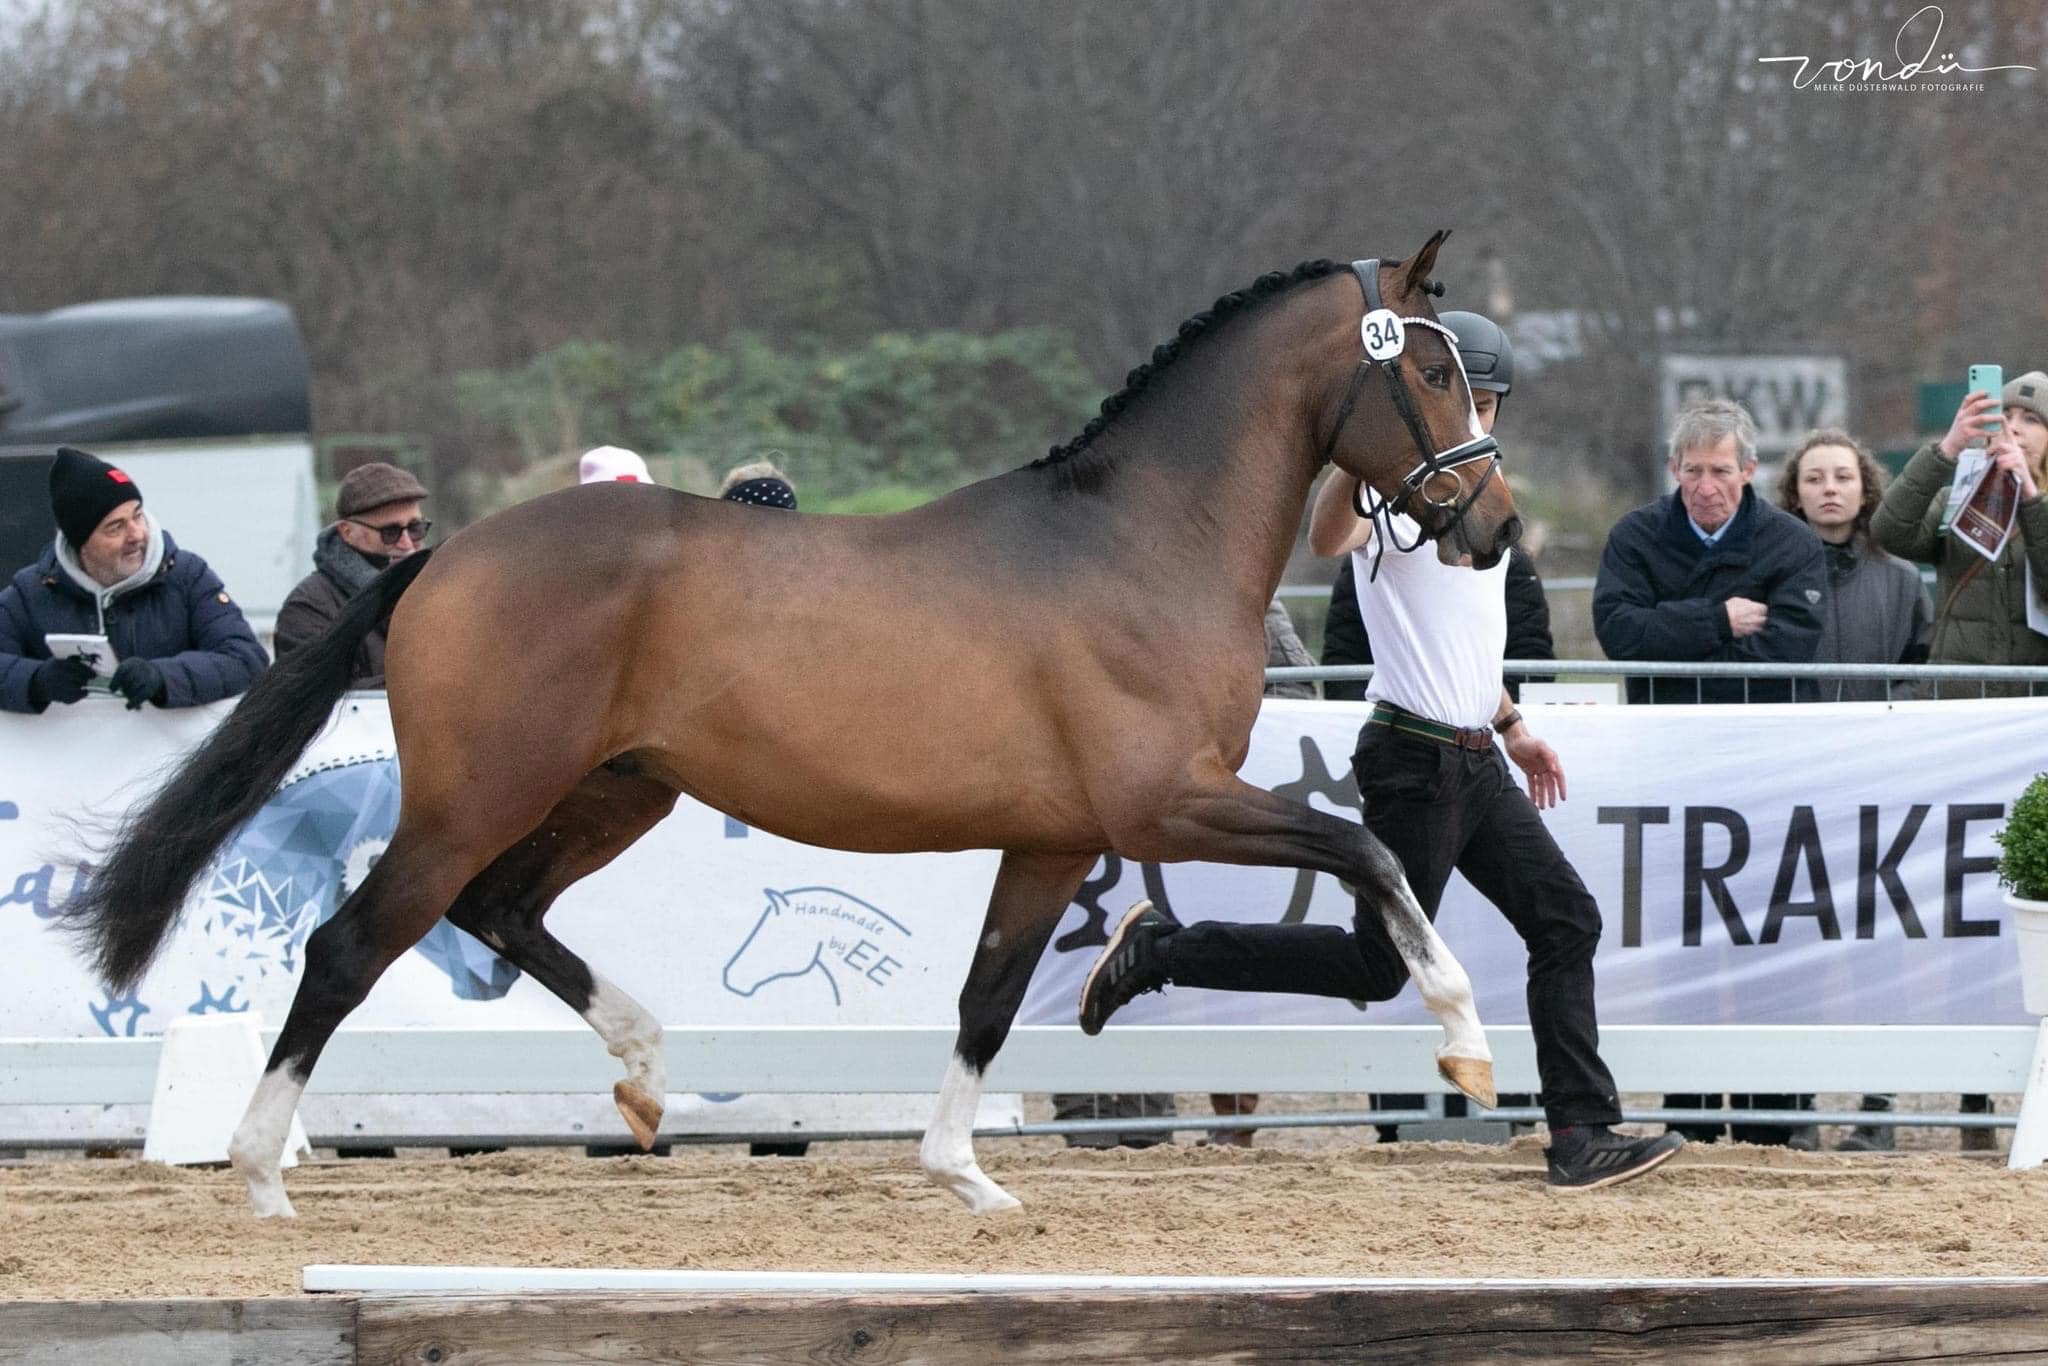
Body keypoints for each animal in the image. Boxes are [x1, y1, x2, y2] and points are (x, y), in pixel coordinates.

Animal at [68, 237, 1523, 1220]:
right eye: (1432, 367)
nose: (1495, 525)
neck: (1136, 540)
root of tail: (443, 556)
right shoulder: (1162, 796)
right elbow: (1365, 851)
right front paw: (1463, 1042)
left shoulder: (1055, 837)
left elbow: (989, 994)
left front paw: (964, 1175)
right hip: (480, 796)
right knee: (351, 945)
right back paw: (261, 1173)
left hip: (613, 791)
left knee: (500, 909)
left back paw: (646, 1074)